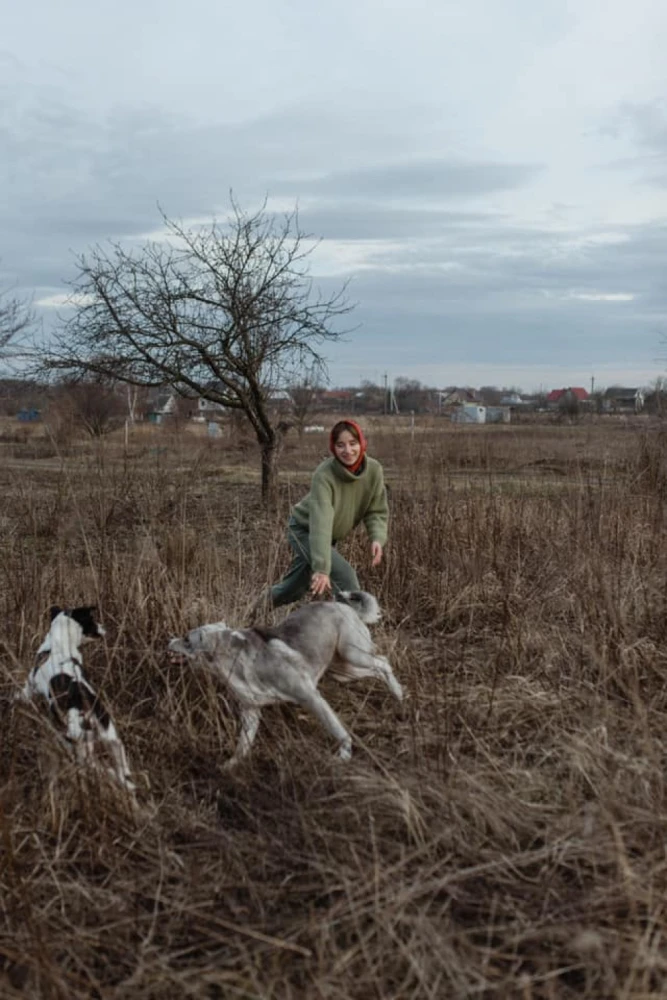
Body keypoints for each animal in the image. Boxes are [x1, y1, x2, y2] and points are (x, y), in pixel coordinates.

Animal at [19, 604, 135, 792]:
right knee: (121, 770)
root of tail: (83, 704)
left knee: (93, 766)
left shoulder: (29, 686)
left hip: (75, 742)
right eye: (93, 620)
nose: (105, 627)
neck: (60, 644)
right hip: (112, 738)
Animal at [170, 588, 404, 768]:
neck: (234, 659)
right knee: (378, 668)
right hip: (343, 671)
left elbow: (336, 729)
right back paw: (397, 695)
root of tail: (344, 606)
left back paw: (399, 694)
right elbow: (242, 746)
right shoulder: (251, 713)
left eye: (186, 639)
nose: (169, 640)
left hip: (353, 654)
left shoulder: (311, 697)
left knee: (383, 662)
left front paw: (344, 753)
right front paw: (231, 766)